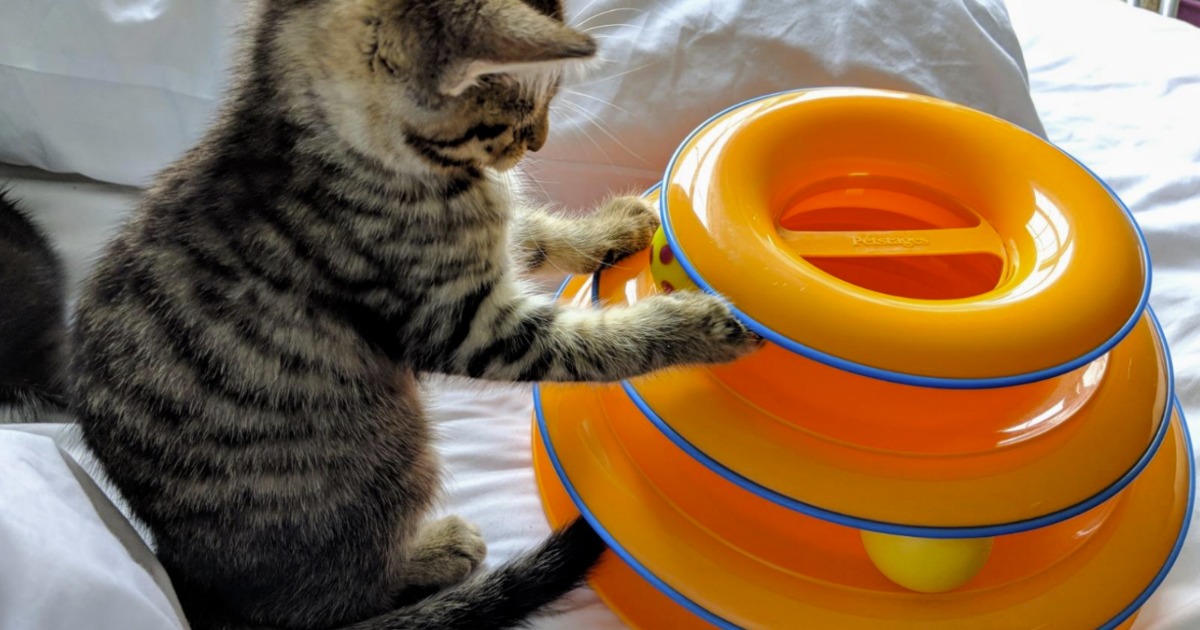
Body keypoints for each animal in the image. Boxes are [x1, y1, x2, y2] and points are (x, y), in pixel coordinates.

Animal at [70, 1, 753, 628]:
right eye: (512, 118)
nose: (539, 140)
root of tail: (197, 587)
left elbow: (527, 232)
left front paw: (608, 227)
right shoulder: (464, 324)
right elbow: (591, 347)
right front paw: (693, 326)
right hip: (388, 450)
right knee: (344, 596)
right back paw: (434, 553)